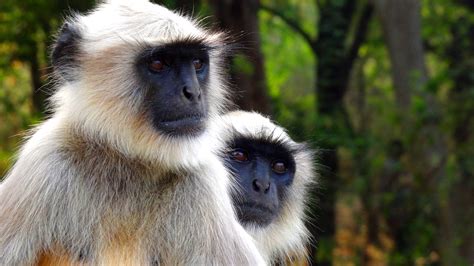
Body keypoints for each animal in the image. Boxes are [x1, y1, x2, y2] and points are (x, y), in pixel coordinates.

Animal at [0, 1, 264, 264]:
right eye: (158, 64)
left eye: (197, 64)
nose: (194, 93)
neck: (129, 164)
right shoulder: (43, 163)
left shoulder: (203, 182)